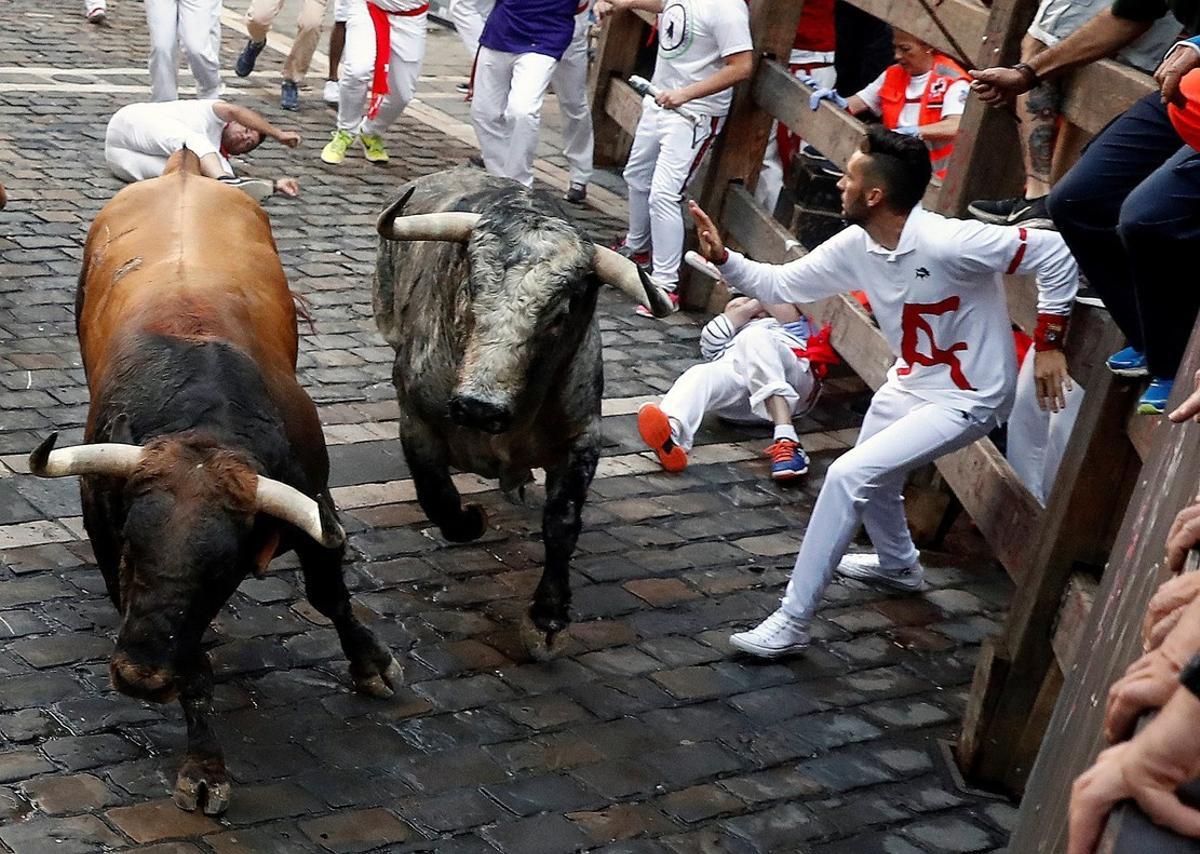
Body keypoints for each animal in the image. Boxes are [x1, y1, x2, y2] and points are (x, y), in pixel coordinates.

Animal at [27, 151, 403, 815]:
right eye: (130, 549)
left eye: (222, 571)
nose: (139, 678)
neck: (204, 423)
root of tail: (180, 168)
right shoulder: (104, 532)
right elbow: (193, 665)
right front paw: (204, 765)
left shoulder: (313, 506)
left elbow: (329, 595)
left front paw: (370, 662)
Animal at [372, 166, 676, 652]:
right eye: (471, 287)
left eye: (560, 312)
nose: (479, 407)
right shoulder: (415, 419)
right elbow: (437, 496)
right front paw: (470, 520)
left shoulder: (581, 438)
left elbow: (562, 522)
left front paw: (547, 618)